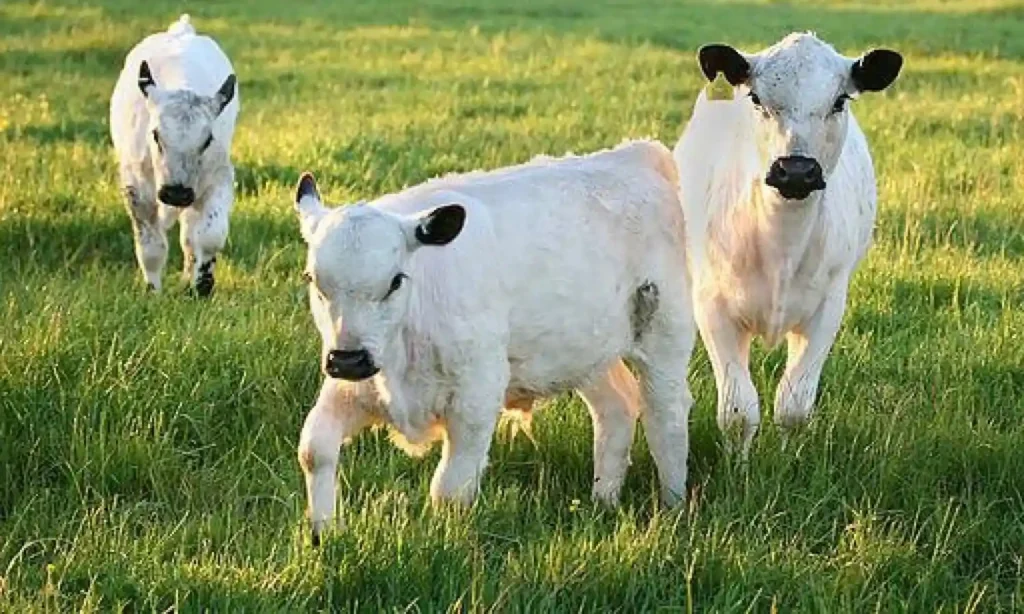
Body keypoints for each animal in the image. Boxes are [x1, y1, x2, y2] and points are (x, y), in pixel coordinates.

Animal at [109, 14, 239, 295]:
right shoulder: (136, 189)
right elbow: (151, 248)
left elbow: (209, 235)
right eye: (155, 135)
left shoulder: (220, 177)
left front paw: (202, 286)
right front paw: (153, 292)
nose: (177, 192)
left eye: (207, 139)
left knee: (189, 236)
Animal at [294, 140, 695, 544]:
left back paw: (673, 507)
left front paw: (445, 540)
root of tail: (636, 153)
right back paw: (604, 501)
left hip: (666, 332)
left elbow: (450, 490)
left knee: (667, 416)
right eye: (313, 279)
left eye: (395, 281)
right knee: (616, 407)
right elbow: (314, 449)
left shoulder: (476, 396)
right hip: (586, 351)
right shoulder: (353, 387)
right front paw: (322, 533)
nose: (348, 359)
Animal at [673, 32, 902, 457]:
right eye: (757, 98)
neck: (782, 242)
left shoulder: (828, 308)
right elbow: (738, 410)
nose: (796, 170)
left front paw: (787, 459)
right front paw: (739, 466)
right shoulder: (713, 307)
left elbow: (793, 405)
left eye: (839, 100)